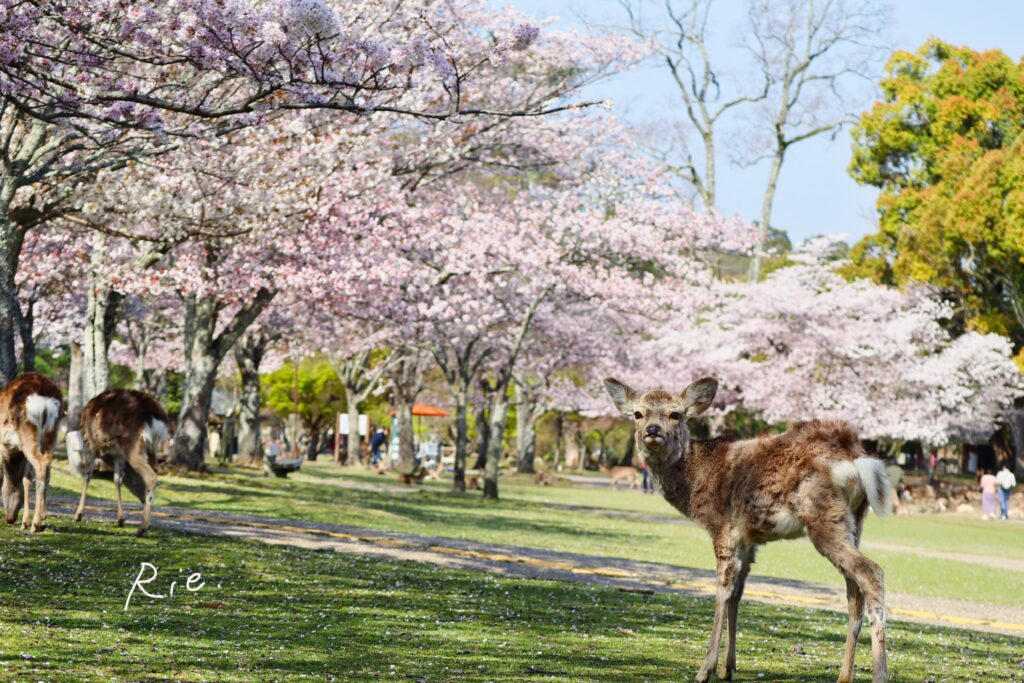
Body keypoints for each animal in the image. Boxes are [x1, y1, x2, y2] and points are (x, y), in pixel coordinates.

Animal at [0, 372, 63, 532]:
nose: (9, 519)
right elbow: (26, 479)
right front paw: (24, 522)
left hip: (27, 431)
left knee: (40, 465)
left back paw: (36, 524)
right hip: (51, 435)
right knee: (47, 469)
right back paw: (41, 522)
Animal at [67, 388, 170, 536]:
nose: (142, 498)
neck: (106, 456)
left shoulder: (89, 442)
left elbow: (87, 476)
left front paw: (78, 515)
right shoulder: (118, 454)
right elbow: (117, 479)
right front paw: (121, 519)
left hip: (131, 443)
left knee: (151, 476)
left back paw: (142, 528)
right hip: (150, 448)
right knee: (155, 469)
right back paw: (146, 524)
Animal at [604, 376, 891, 683]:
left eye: (675, 414)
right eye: (638, 413)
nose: (653, 430)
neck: (695, 484)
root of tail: (858, 460)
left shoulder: (723, 528)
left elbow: (722, 591)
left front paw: (705, 669)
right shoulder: (748, 540)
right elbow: (738, 594)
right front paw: (728, 667)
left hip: (822, 516)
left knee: (871, 572)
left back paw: (880, 675)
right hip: (854, 522)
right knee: (854, 592)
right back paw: (844, 675)